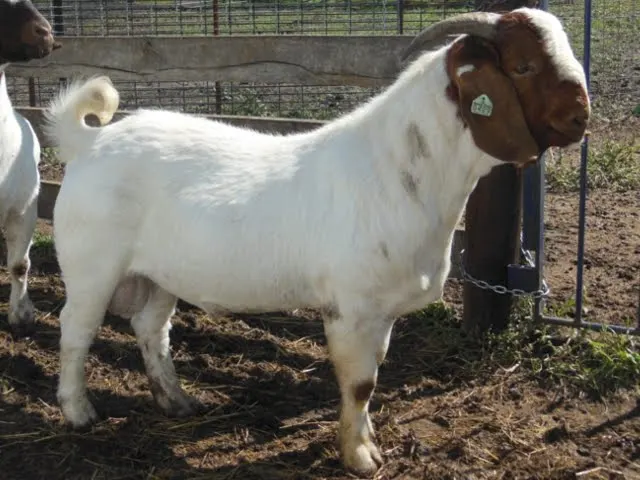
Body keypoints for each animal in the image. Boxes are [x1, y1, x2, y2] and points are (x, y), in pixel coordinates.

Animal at [44, 7, 589, 476]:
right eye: (523, 66)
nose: (581, 118)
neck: (395, 171)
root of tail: (91, 141)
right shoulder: (351, 307)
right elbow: (360, 383)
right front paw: (359, 458)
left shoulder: (381, 310)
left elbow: (373, 377)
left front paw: (368, 444)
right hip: (91, 264)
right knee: (76, 328)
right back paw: (78, 411)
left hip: (160, 273)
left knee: (150, 327)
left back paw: (176, 401)